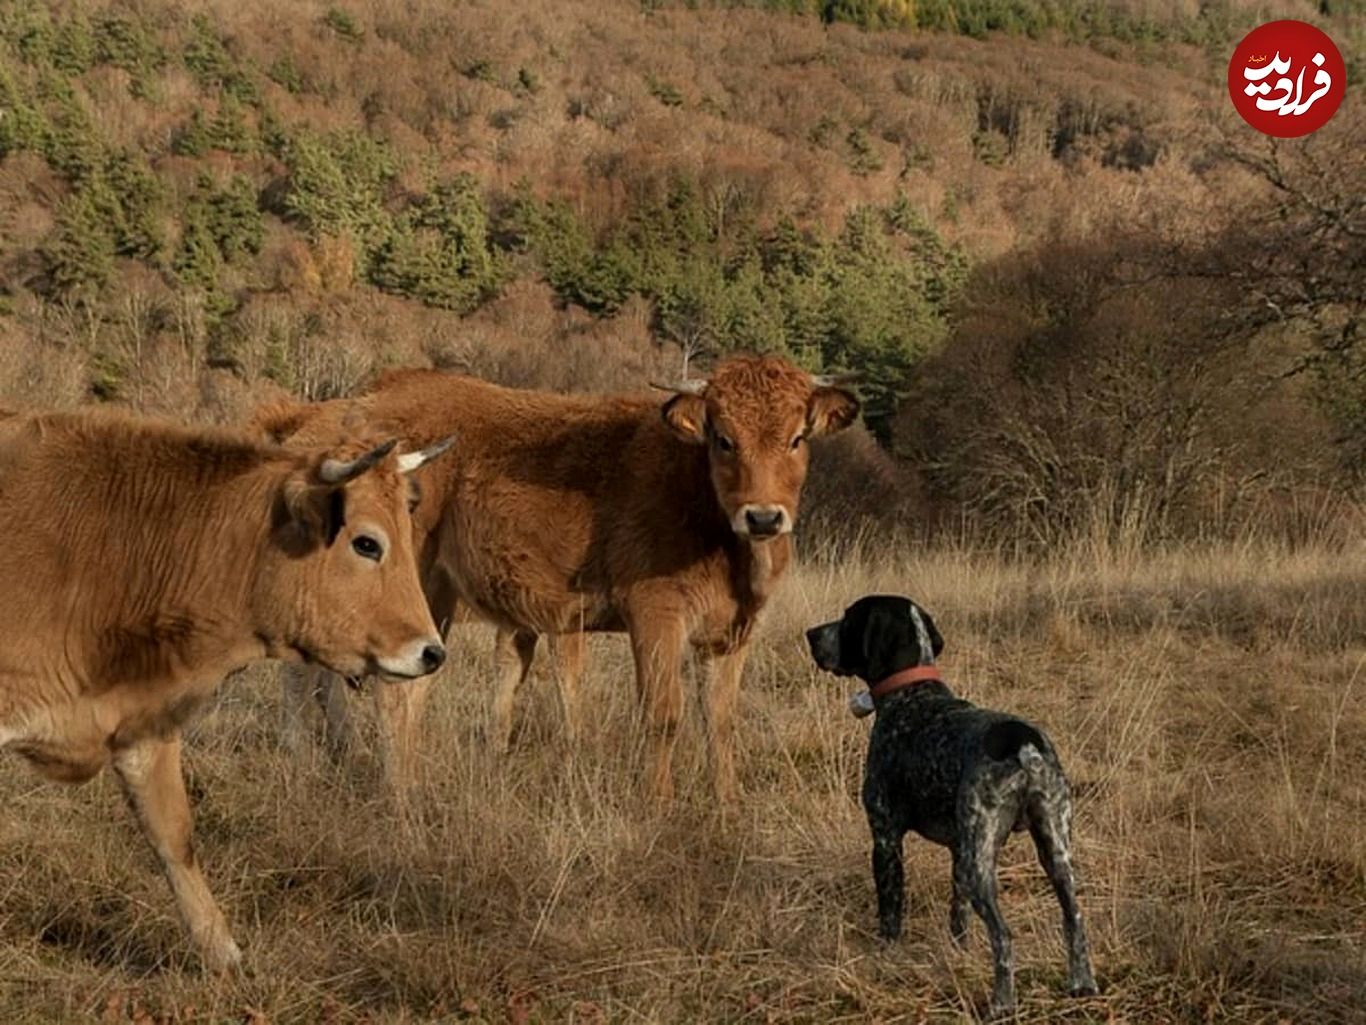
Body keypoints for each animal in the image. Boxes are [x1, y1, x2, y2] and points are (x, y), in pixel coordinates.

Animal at [256, 358, 852, 809]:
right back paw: (385, 786)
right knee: (378, 687)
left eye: (797, 437)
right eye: (723, 439)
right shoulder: (654, 615)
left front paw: (726, 806)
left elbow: (721, 720)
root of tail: (355, 405)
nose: (764, 516)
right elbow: (662, 713)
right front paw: (659, 805)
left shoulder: (731, 632)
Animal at [803, 593, 1092, 1022]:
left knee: (1004, 937)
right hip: (1054, 851)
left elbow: (890, 914)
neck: (913, 694)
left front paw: (887, 959)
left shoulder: (886, 838)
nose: (811, 634)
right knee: (1075, 919)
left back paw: (1001, 1003)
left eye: (848, 618)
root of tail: (1024, 746)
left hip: (981, 863)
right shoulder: (958, 849)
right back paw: (1082, 986)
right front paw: (958, 956)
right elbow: (958, 918)